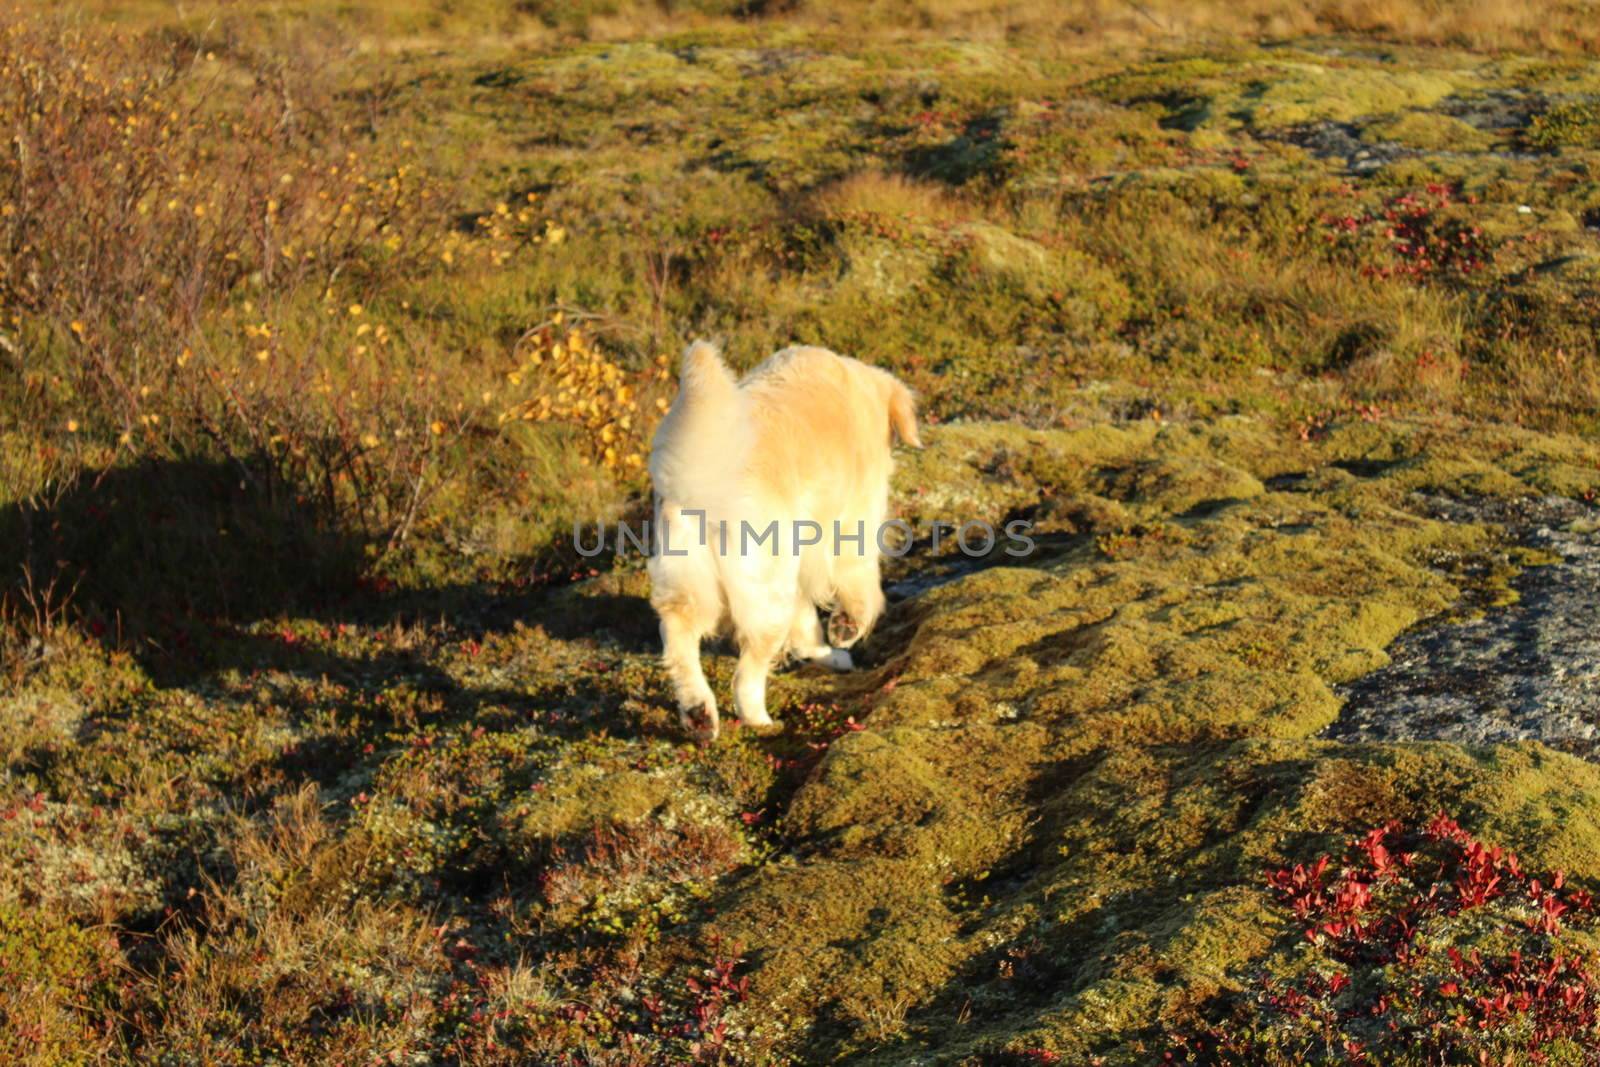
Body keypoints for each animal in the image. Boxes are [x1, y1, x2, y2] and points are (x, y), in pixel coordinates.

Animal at [646, 343, 921, 742]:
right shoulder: (851, 525)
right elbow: (859, 587)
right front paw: (846, 629)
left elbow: (805, 619)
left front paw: (826, 652)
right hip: (766, 589)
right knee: (747, 674)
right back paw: (759, 719)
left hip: (689, 580)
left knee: (678, 637)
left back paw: (699, 713)